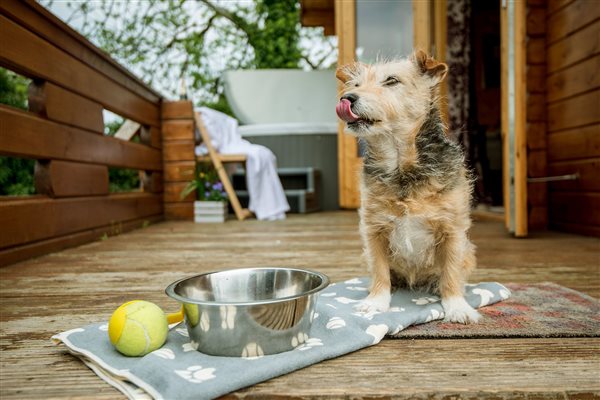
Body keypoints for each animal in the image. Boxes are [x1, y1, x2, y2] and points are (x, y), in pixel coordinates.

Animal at [336, 50, 480, 324]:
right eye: (356, 85)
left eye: (391, 80)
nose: (347, 98)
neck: (401, 167)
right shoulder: (374, 230)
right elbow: (380, 271)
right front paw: (376, 302)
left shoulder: (453, 231)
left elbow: (451, 273)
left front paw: (456, 306)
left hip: (468, 252)